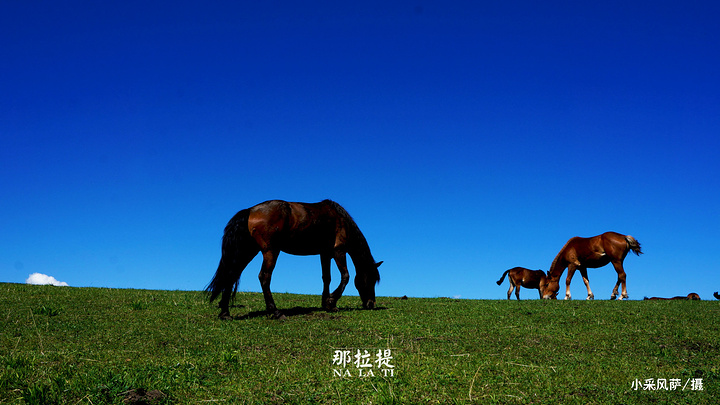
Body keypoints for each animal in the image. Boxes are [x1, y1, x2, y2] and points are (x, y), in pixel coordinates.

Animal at [205, 199, 382, 318]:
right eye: (371, 279)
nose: (371, 304)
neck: (339, 219)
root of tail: (250, 210)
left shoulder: (325, 253)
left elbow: (327, 278)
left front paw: (326, 303)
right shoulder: (339, 251)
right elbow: (345, 276)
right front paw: (332, 301)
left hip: (248, 251)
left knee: (231, 275)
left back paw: (225, 313)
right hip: (270, 251)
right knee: (264, 277)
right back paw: (275, 312)